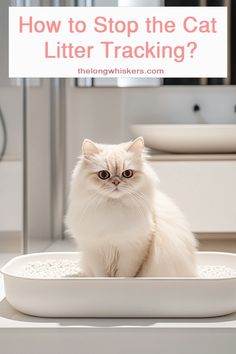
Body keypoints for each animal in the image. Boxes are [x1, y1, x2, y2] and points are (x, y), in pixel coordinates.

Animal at [64, 137, 197, 278]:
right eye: (104, 175)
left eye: (127, 173)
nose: (116, 182)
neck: (113, 210)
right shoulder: (94, 249)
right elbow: (101, 274)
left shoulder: (133, 249)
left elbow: (125, 273)